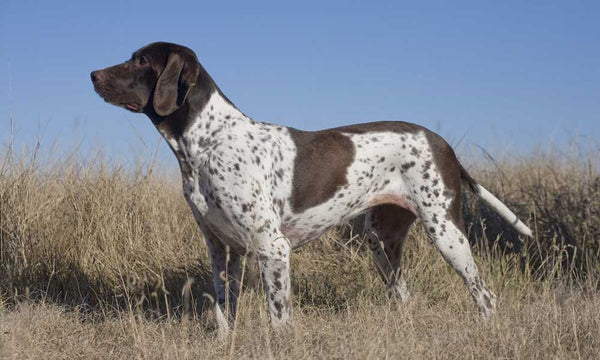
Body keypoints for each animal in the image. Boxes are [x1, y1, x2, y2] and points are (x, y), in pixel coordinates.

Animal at [91, 42, 532, 334]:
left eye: (141, 60)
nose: (93, 74)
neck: (209, 141)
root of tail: (442, 142)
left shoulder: (272, 248)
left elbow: (279, 318)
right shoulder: (222, 250)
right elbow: (223, 312)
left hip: (446, 233)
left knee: (485, 296)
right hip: (382, 243)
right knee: (404, 296)